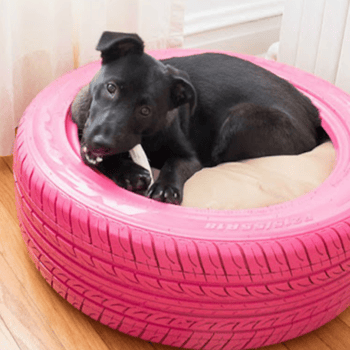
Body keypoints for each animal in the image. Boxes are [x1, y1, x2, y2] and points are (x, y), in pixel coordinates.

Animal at [72, 30, 328, 205]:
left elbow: (174, 164)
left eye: (145, 110)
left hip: (240, 119)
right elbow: (98, 158)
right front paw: (130, 172)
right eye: (111, 88)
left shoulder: (190, 157)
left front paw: (166, 188)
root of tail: (313, 113)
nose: (101, 143)